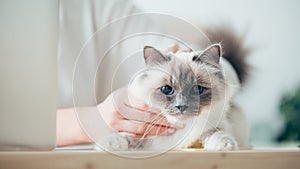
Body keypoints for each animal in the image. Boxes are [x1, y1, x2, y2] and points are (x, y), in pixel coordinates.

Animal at [99, 28, 250, 151]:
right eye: (167, 89)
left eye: (198, 89)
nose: (181, 106)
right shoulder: (143, 132)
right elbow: (125, 135)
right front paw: (109, 144)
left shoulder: (216, 127)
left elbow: (217, 133)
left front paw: (224, 145)